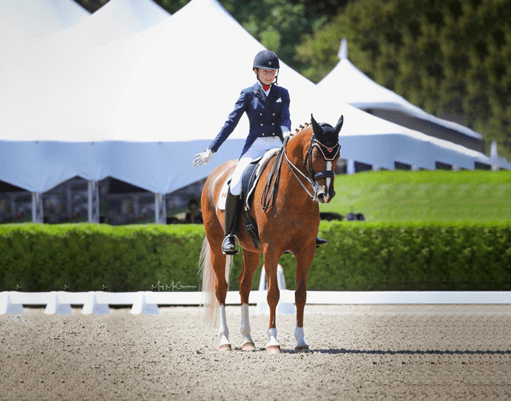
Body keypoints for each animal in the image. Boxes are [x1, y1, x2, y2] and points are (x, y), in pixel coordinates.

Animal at [200, 113, 344, 354]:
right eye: (316, 152)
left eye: (338, 152)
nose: (326, 194)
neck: (293, 195)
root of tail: (215, 175)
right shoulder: (272, 249)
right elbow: (273, 294)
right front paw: (273, 342)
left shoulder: (306, 250)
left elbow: (301, 295)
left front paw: (301, 342)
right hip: (216, 244)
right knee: (222, 289)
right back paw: (225, 340)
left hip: (251, 249)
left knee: (244, 286)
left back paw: (247, 340)